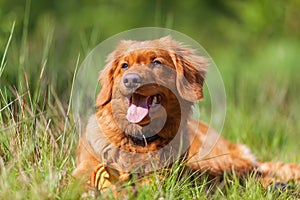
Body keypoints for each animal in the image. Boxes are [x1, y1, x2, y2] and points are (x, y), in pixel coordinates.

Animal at [73, 36, 300, 194]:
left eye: (156, 62)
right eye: (124, 65)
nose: (130, 80)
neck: (137, 140)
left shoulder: (161, 177)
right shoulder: (82, 169)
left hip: (210, 158)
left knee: (250, 173)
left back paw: (277, 186)